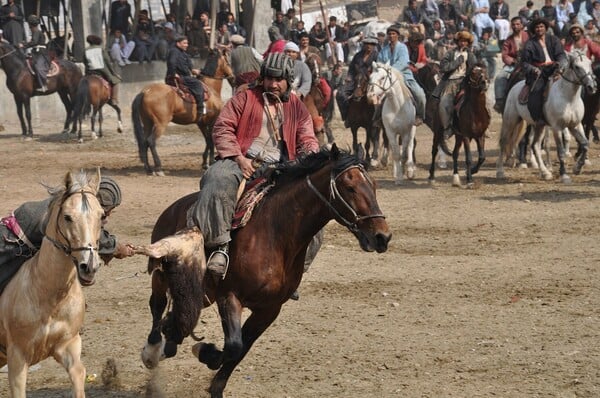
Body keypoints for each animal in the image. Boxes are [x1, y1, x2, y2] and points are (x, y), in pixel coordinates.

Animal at [0, 169, 103, 396]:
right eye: (67, 217)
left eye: (102, 215)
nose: (89, 266)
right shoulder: (17, 360)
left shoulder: (69, 347)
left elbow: (78, 376)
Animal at [131, 48, 232, 176]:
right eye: (228, 62)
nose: (232, 75)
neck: (211, 88)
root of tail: (145, 91)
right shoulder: (212, 121)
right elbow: (211, 140)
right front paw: (211, 161)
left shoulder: (201, 123)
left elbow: (208, 140)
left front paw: (205, 163)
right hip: (160, 124)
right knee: (151, 141)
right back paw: (158, 168)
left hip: (148, 122)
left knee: (144, 142)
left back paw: (148, 169)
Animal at [136, 145, 392, 398]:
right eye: (349, 187)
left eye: (374, 186)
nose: (382, 237)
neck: (275, 234)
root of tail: (172, 209)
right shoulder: (229, 296)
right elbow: (234, 345)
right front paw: (204, 351)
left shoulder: (269, 309)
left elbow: (241, 349)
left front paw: (215, 381)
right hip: (161, 273)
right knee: (157, 304)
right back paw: (152, 351)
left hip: (201, 291)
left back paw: (172, 335)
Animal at [496, 50, 596, 183]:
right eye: (577, 67)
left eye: (590, 63)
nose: (591, 86)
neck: (568, 98)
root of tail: (515, 86)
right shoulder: (557, 128)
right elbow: (561, 152)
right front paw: (564, 175)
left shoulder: (575, 125)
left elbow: (585, 144)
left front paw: (577, 168)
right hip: (510, 120)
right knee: (504, 142)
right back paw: (500, 172)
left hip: (539, 126)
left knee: (535, 145)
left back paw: (545, 172)